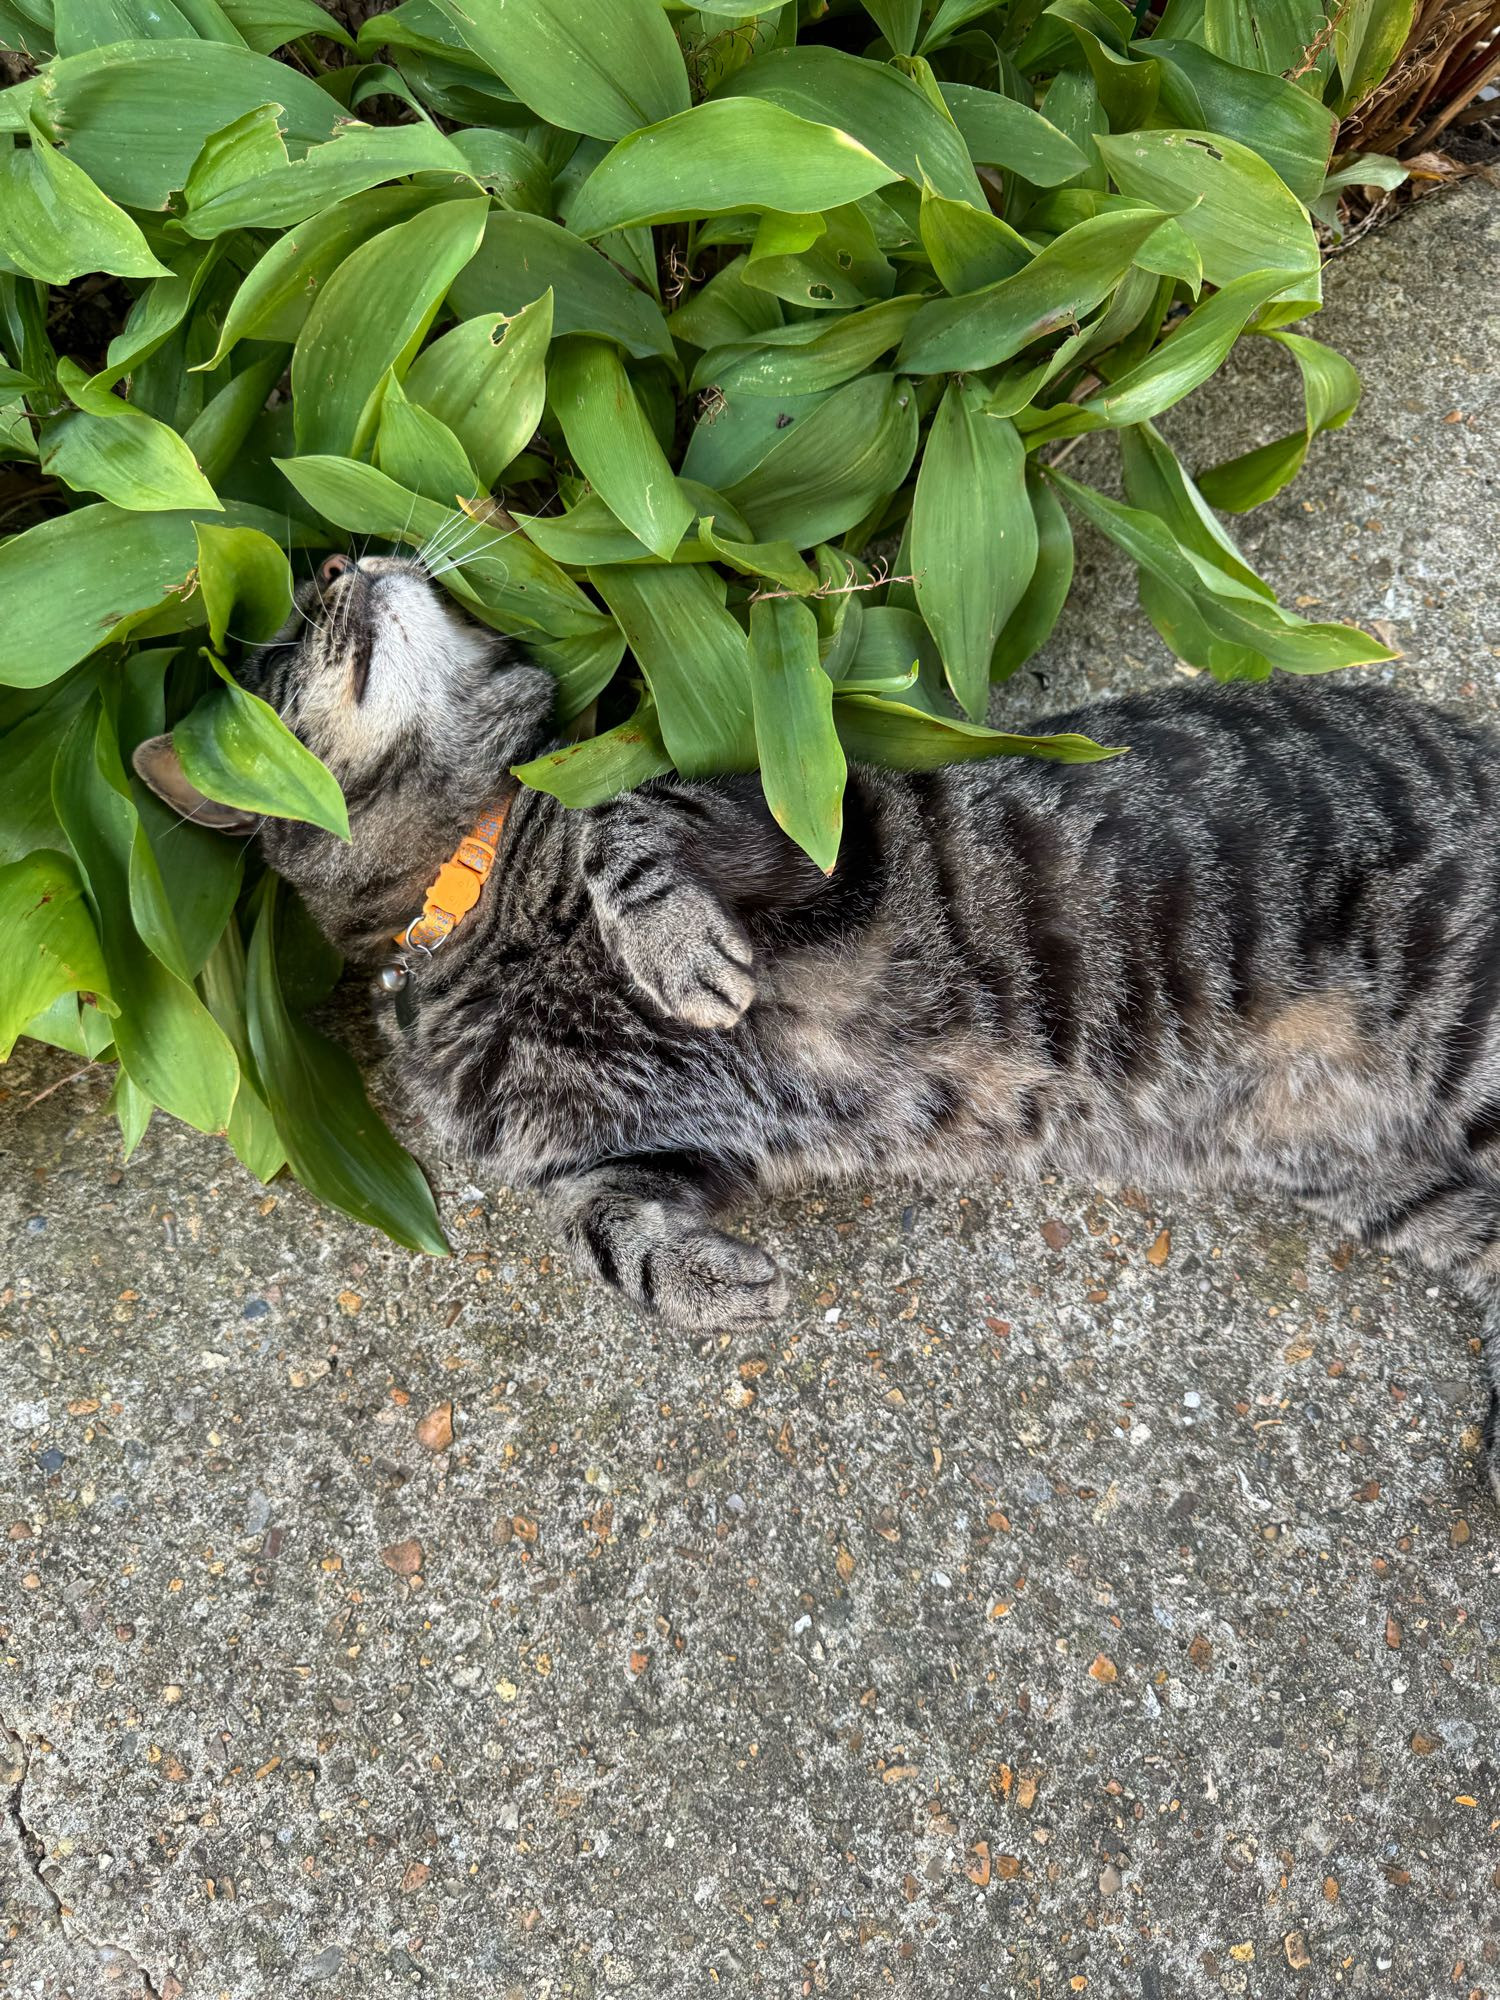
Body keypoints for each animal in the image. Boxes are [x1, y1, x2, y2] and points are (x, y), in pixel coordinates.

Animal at [135, 556, 1500, 1496]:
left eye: (279, 643)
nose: (337, 557)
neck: (469, 904)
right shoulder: (628, 1156)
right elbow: (596, 1235)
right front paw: (696, 1280)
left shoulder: (792, 814)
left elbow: (622, 815)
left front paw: (671, 947)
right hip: (1380, 1173)